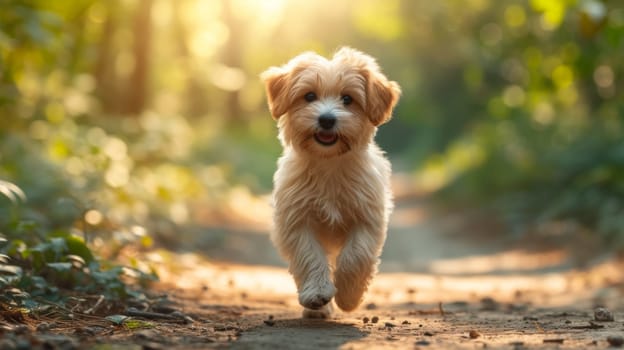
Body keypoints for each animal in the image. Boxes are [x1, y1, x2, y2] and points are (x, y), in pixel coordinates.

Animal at [260, 47, 400, 318]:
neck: (329, 165)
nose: (326, 119)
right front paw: (317, 294)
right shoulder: (297, 221)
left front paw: (348, 296)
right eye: (309, 96)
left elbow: (355, 257)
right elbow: (310, 256)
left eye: (347, 99)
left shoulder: (367, 219)